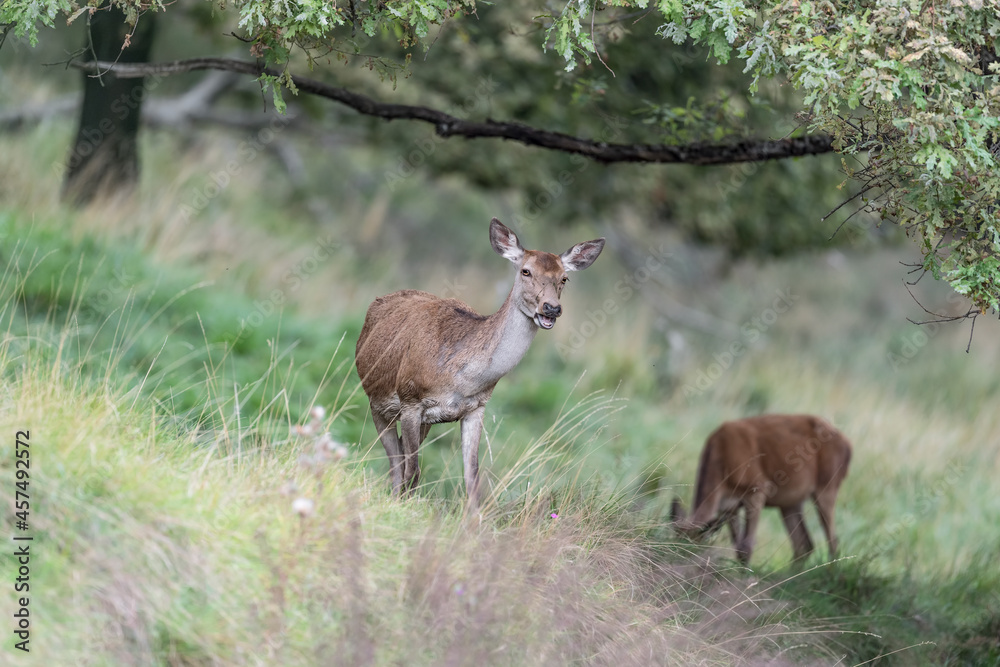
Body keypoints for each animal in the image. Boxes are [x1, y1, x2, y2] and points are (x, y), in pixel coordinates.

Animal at [355, 218, 605, 510]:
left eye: (564, 278)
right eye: (526, 271)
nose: (551, 308)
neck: (461, 379)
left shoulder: (476, 408)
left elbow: (472, 478)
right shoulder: (410, 399)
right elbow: (412, 470)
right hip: (376, 401)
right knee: (396, 464)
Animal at [671, 414, 852, 565]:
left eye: (692, 546)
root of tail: (848, 446)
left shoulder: (757, 490)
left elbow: (747, 545)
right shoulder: (729, 506)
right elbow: (738, 545)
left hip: (827, 486)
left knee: (832, 541)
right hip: (790, 503)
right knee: (803, 544)